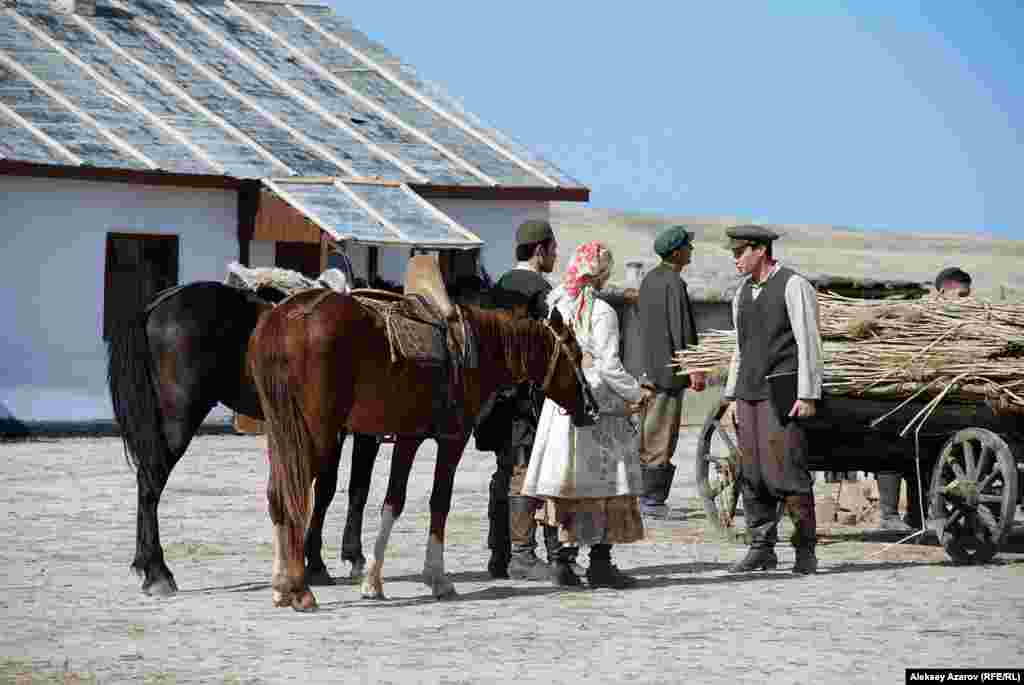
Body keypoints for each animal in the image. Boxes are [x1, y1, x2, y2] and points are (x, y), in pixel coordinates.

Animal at [249, 290, 598, 610]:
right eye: (577, 354)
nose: (591, 409)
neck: (475, 350)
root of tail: (285, 317)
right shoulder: (452, 439)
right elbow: (439, 503)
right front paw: (437, 578)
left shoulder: (409, 438)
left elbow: (393, 503)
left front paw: (373, 581)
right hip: (315, 436)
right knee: (295, 497)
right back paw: (300, 589)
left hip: (282, 434)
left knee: (277, 495)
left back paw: (282, 585)